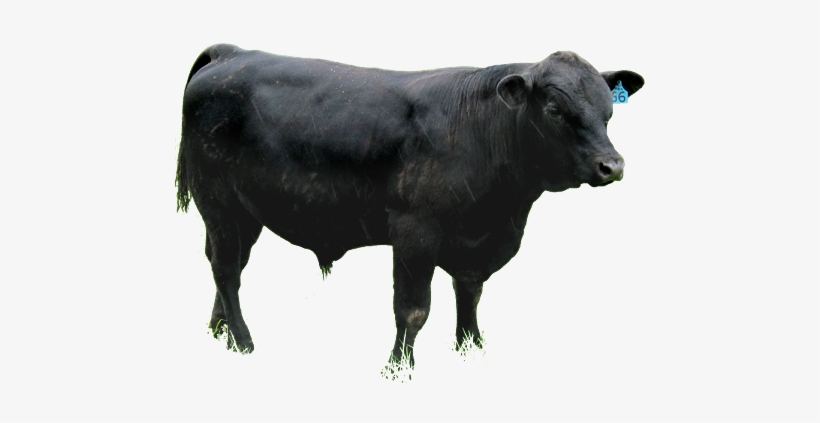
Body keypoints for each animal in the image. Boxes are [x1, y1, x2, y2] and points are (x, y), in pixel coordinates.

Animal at [175, 44, 644, 369]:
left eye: (608, 110)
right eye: (554, 109)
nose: (612, 165)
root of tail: (232, 53)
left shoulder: (478, 239)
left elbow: (470, 293)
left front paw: (471, 348)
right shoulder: (414, 232)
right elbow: (413, 309)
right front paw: (399, 368)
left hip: (245, 209)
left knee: (229, 264)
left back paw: (218, 330)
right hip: (216, 200)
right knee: (226, 269)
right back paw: (242, 341)